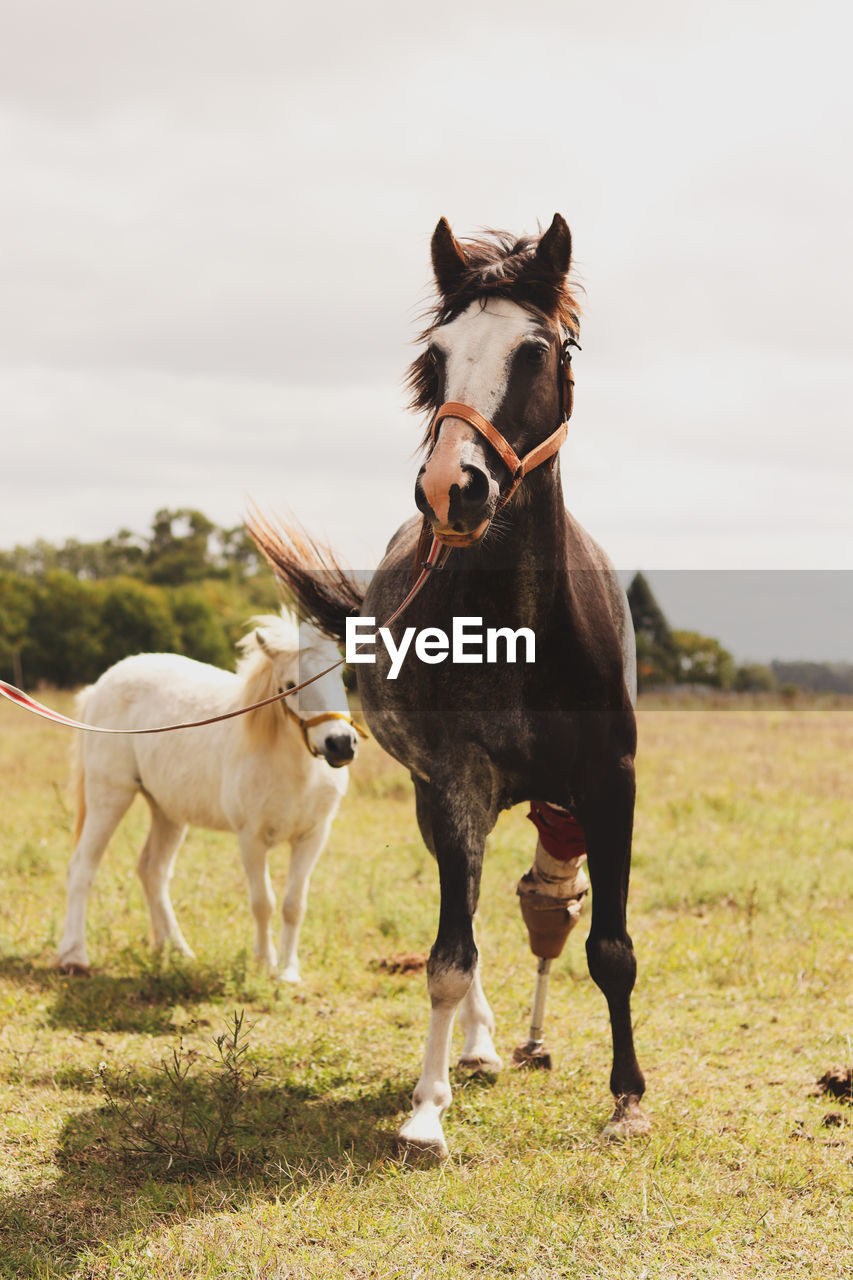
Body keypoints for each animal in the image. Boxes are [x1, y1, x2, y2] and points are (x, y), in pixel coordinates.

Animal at [55, 609, 356, 977]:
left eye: (340, 677)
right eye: (290, 687)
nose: (340, 744)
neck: (296, 770)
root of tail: (100, 685)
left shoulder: (311, 837)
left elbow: (293, 905)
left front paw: (287, 973)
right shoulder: (251, 839)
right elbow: (263, 903)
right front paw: (263, 963)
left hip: (167, 812)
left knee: (152, 872)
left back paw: (175, 950)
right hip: (109, 797)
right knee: (82, 868)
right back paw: (74, 956)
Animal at [249, 215, 648, 1157]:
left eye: (536, 351)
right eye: (435, 357)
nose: (449, 488)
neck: (520, 630)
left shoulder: (608, 783)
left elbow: (609, 947)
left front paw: (627, 1099)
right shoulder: (459, 784)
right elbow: (446, 959)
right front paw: (427, 1108)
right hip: (440, 804)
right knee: (461, 925)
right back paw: (476, 1049)